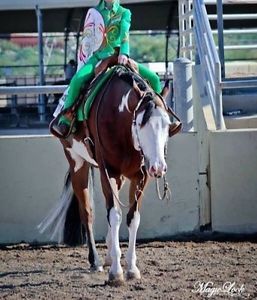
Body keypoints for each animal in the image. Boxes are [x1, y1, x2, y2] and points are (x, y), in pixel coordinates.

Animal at [40, 65, 180, 286]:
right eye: (140, 123)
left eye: (167, 124)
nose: (158, 167)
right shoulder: (108, 173)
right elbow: (114, 215)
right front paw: (116, 272)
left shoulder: (141, 176)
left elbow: (133, 217)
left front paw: (131, 268)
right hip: (77, 164)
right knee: (87, 212)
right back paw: (96, 261)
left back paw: (108, 255)